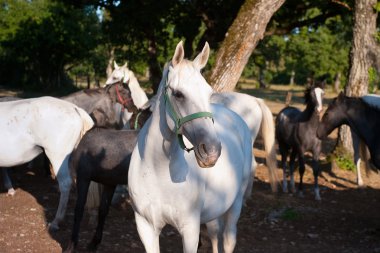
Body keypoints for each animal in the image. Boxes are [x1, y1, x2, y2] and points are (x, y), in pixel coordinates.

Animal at [129, 40, 254, 252]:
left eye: (209, 93)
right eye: (178, 94)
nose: (211, 151)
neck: (156, 168)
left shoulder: (190, 230)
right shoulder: (146, 227)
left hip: (235, 203)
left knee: (228, 239)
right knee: (214, 234)